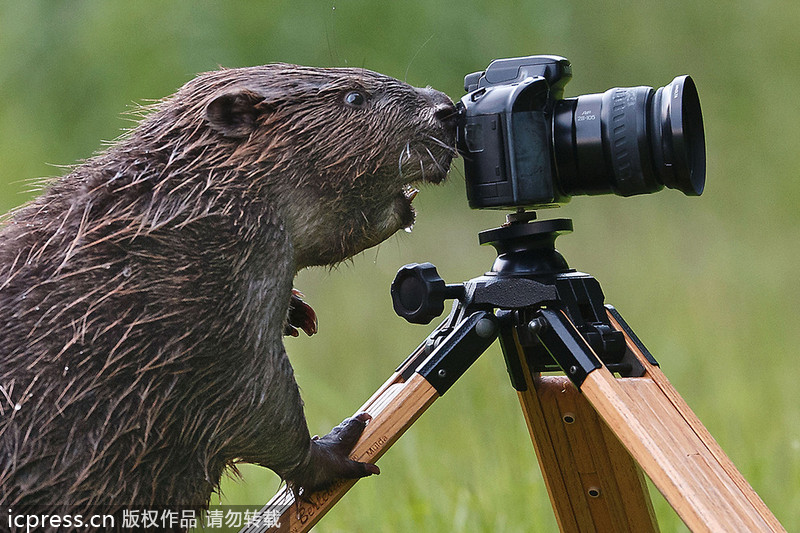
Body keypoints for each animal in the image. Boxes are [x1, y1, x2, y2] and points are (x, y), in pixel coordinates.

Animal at [0, 63, 456, 520]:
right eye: (354, 98)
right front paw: (343, 443)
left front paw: (297, 315)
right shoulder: (210, 303)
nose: (447, 109)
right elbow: (258, 403)